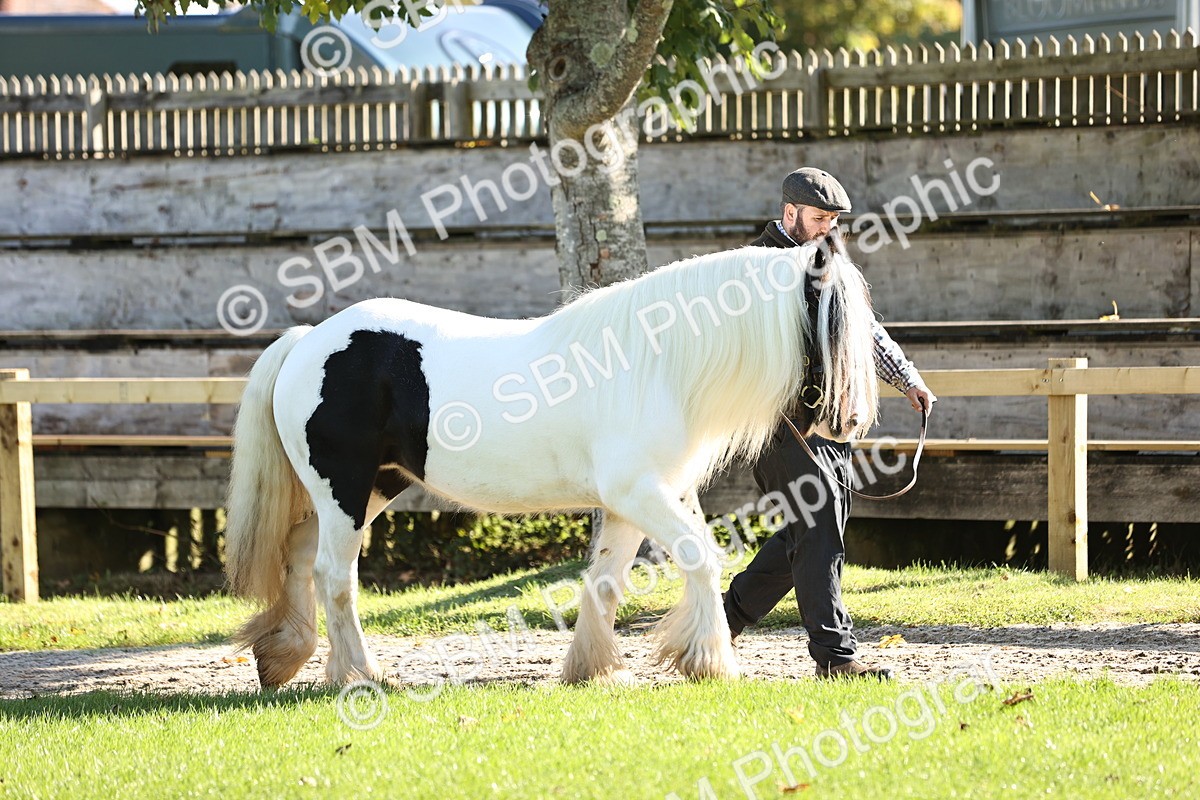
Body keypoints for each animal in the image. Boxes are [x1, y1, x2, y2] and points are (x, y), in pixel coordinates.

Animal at [223, 237, 879, 688]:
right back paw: (361, 674)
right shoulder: (639, 493)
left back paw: (285, 659)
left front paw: (594, 670)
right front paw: (710, 663)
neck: (656, 362)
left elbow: (608, 581)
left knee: (299, 552)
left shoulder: (635, 501)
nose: (848, 424)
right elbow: (701, 557)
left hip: (373, 488)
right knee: (335, 575)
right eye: (832, 315)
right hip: (346, 489)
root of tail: (307, 341)